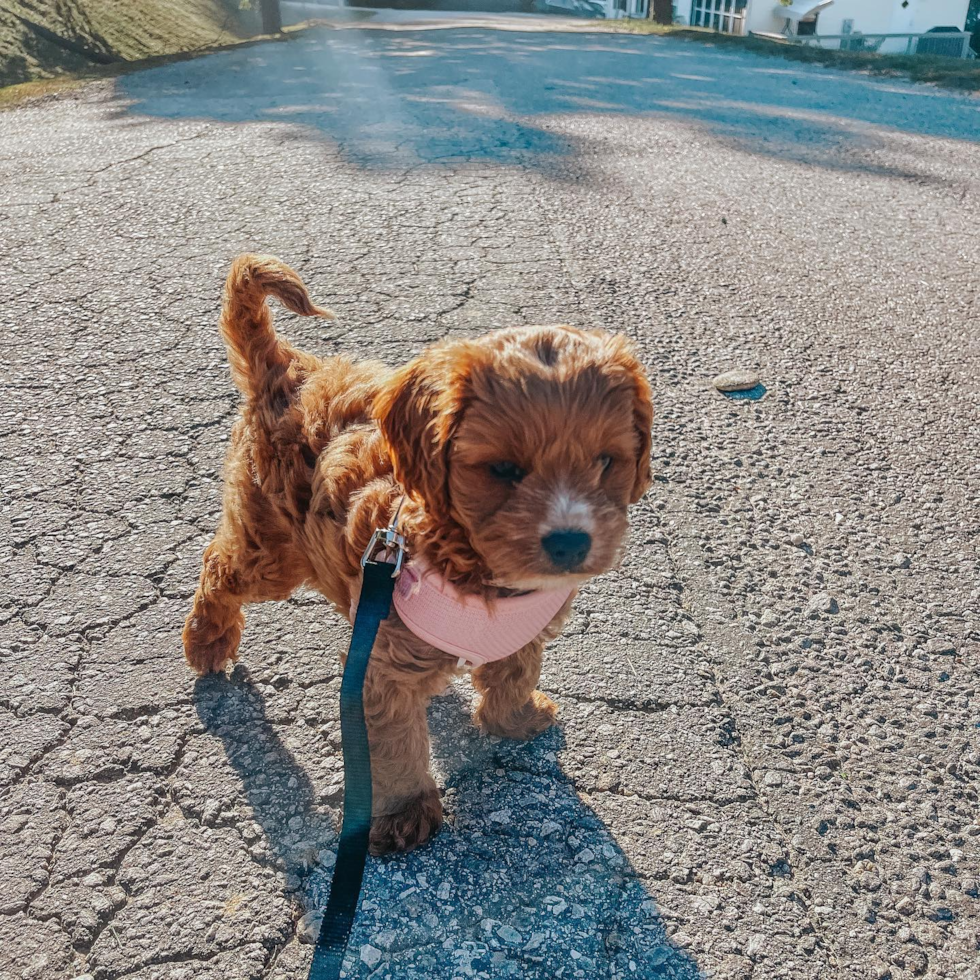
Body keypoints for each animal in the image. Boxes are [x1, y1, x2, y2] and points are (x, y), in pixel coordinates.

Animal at [186, 256, 660, 852]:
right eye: (503, 469)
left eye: (605, 462)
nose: (570, 540)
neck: (479, 571)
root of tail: (287, 368)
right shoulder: (382, 672)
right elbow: (393, 748)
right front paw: (405, 814)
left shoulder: (517, 632)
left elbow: (516, 671)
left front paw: (516, 718)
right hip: (270, 550)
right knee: (218, 565)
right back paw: (207, 640)